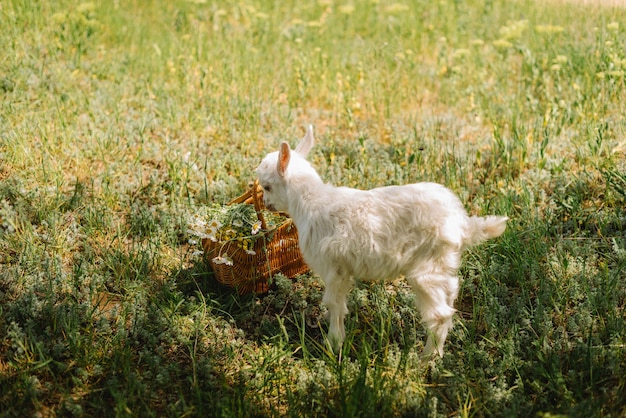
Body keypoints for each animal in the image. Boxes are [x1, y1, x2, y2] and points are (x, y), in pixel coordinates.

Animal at [256, 126, 504, 356]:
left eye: (267, 187)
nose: (266, 203)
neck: (310, 202)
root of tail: (462, 222)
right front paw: (327, 325)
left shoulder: (335, 268)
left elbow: (334, 304)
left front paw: (333, 343)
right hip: (443, 263)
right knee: (451, 293)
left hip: (426, 269)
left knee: (440, 314)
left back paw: (426, 360)